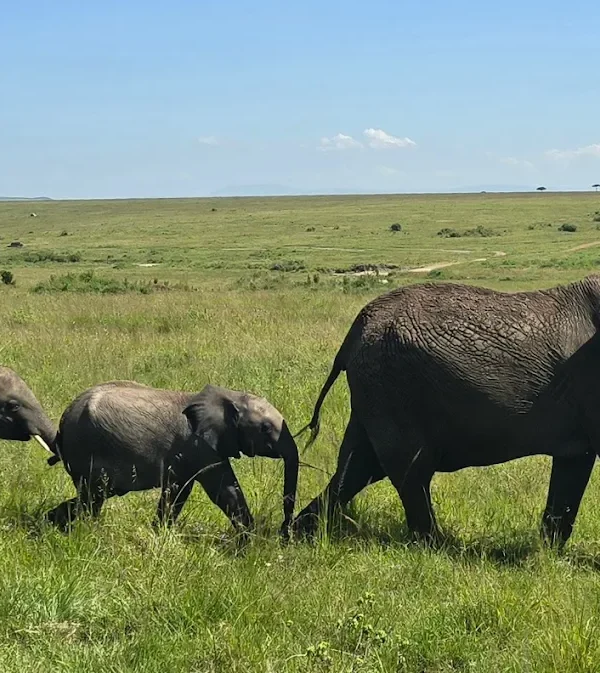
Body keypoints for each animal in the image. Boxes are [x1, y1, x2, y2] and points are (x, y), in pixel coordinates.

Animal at [47, 381, 299, 540]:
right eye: (265, 428)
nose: (284, 532)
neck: (230, 395)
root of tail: (63, 421)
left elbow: (184, 490)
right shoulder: (199, 444)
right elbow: (222, 490)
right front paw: (251, 541)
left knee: (92, 497)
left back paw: (55, 522)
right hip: (86, 449)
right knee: (92, 497)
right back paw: (86, 531)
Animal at [294, 274, 600, 547]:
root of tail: (355, 330)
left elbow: (573, 465)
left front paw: (548, 555)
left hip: (375, 392)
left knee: (356, 467)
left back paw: (296, 533)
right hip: (393, 386)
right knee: (410, 470)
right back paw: (438, 547)